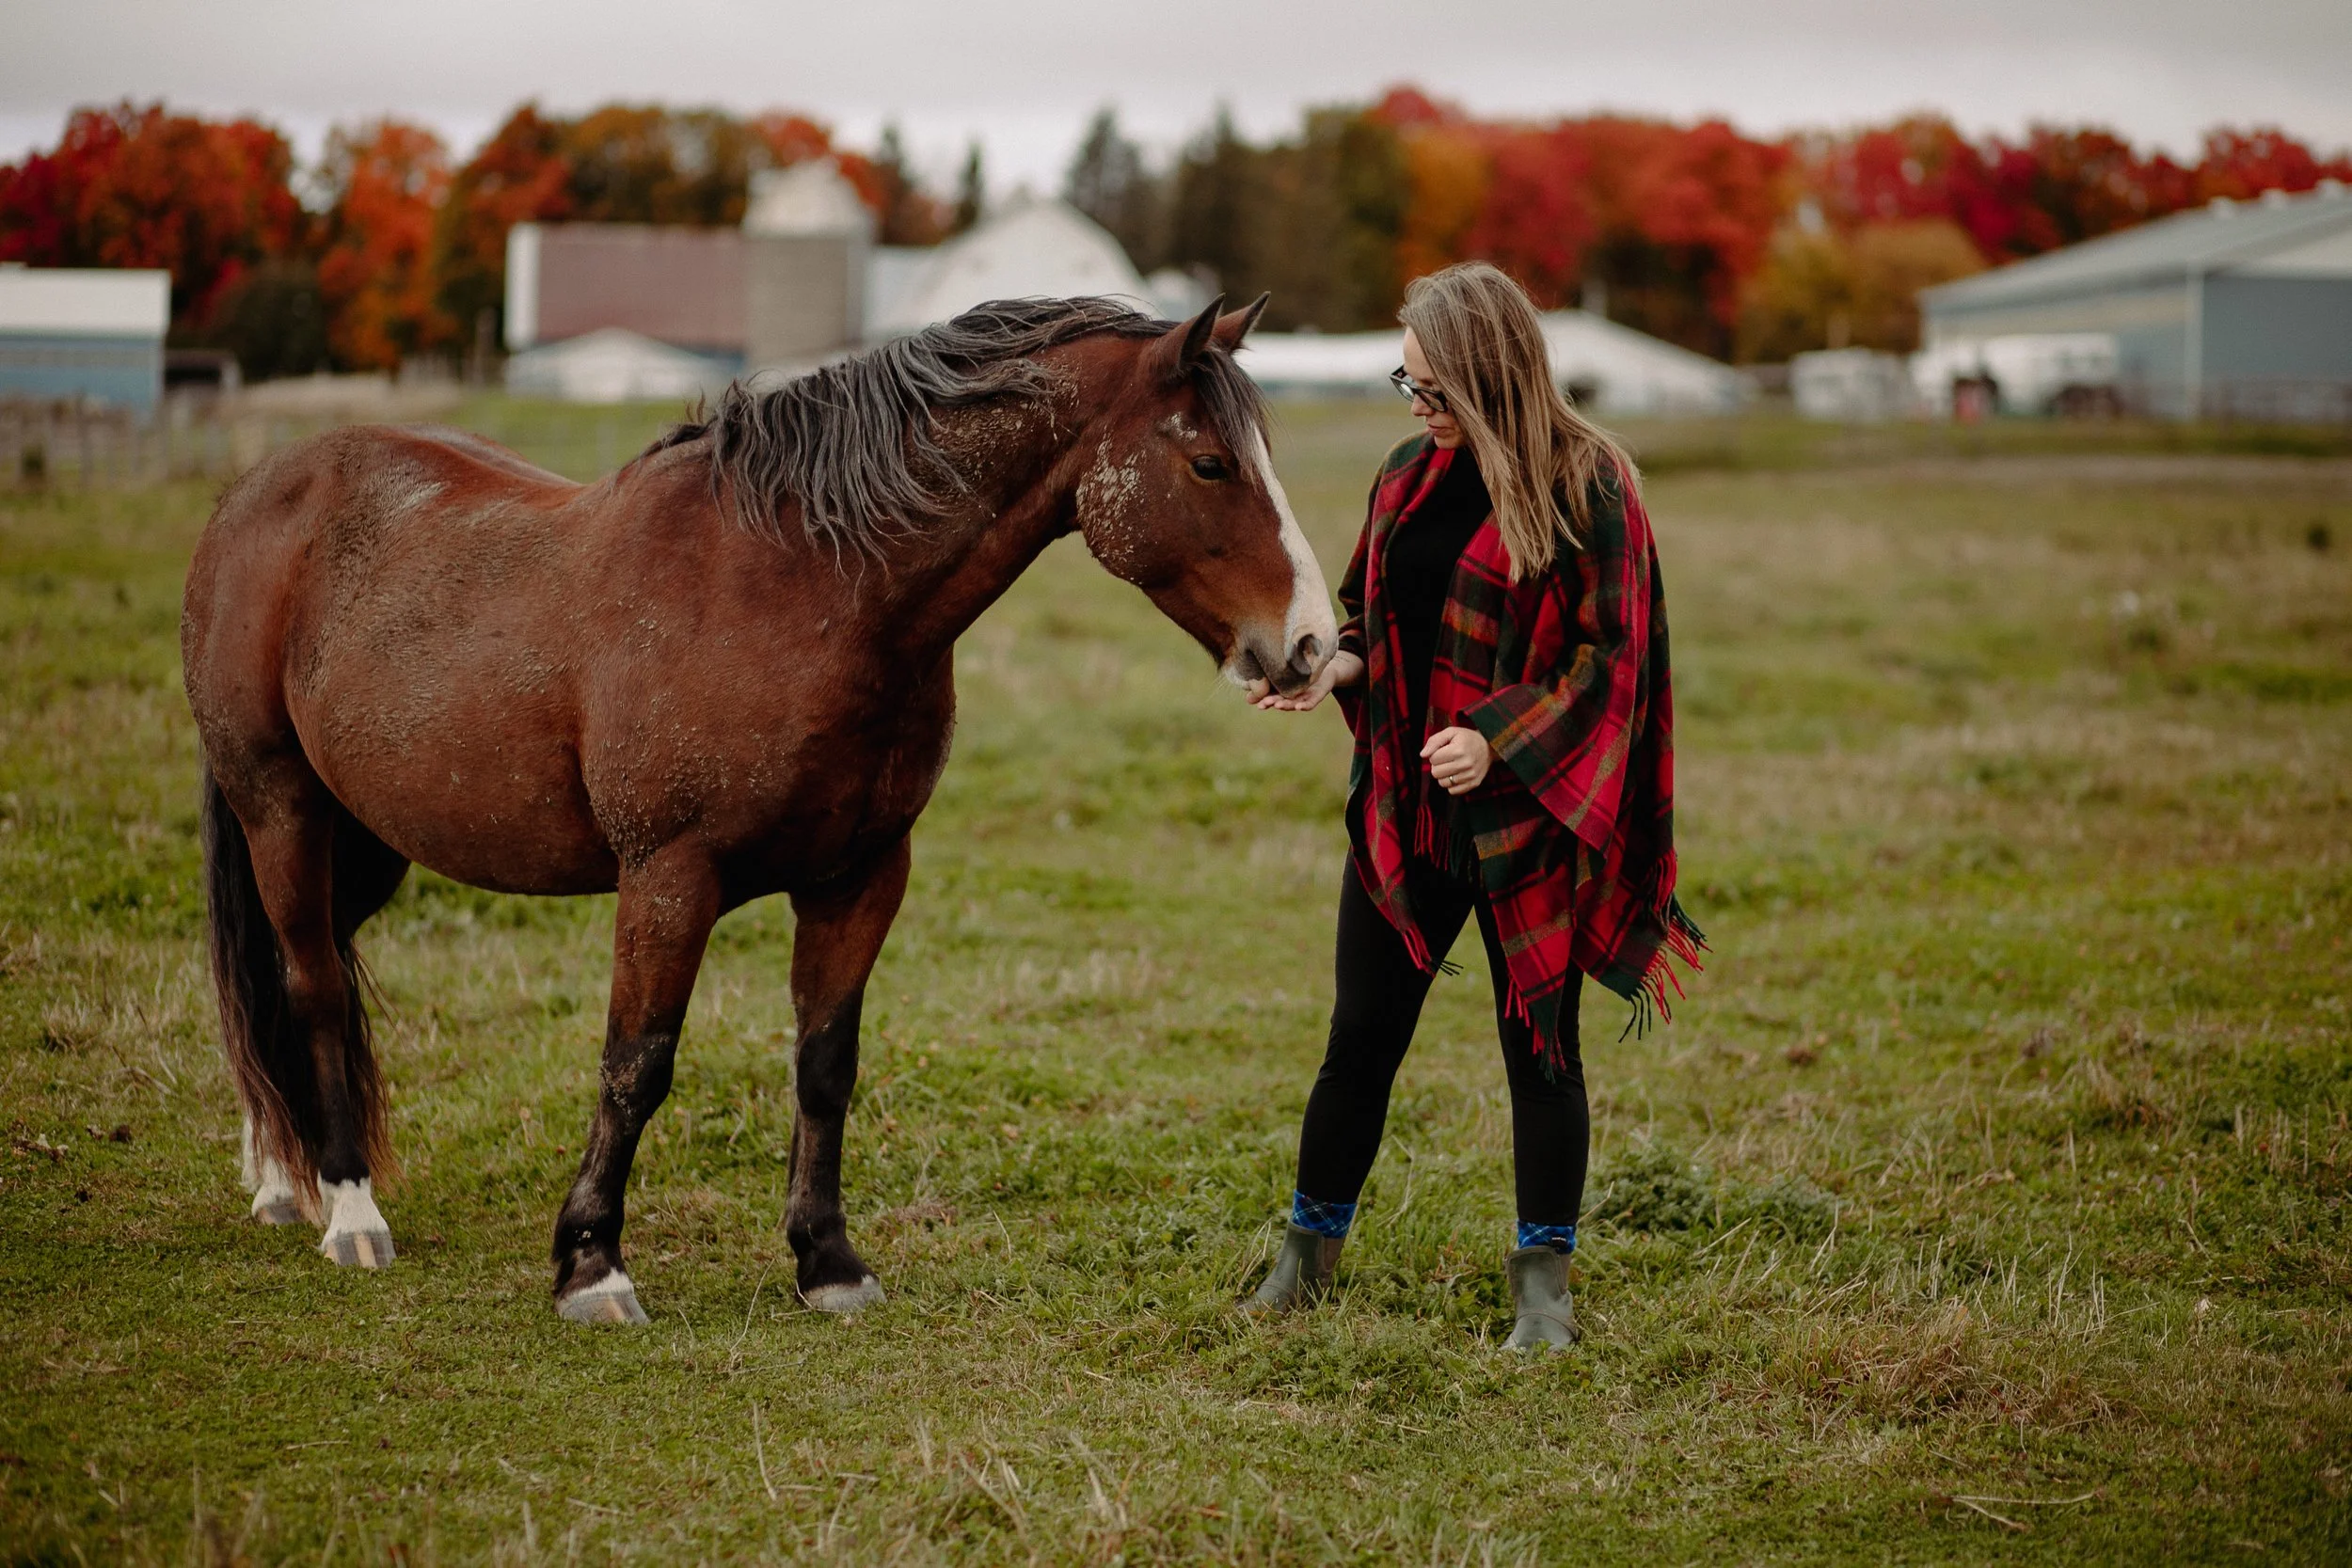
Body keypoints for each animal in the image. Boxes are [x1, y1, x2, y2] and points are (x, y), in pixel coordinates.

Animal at [181, 294, 1333, 1324]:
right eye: (1211, 464)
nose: (1315, 646)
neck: (804, 591)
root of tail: (257, 493)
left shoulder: (861, 875)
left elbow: (825, 1065)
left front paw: (826, 1261)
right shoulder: (668, 876)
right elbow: (636, 1064)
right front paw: (591, 1266)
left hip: (370, 836)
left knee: (294, 977)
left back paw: (281, 1176)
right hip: (281, 809)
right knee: (313, 983)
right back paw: (348, 1209)